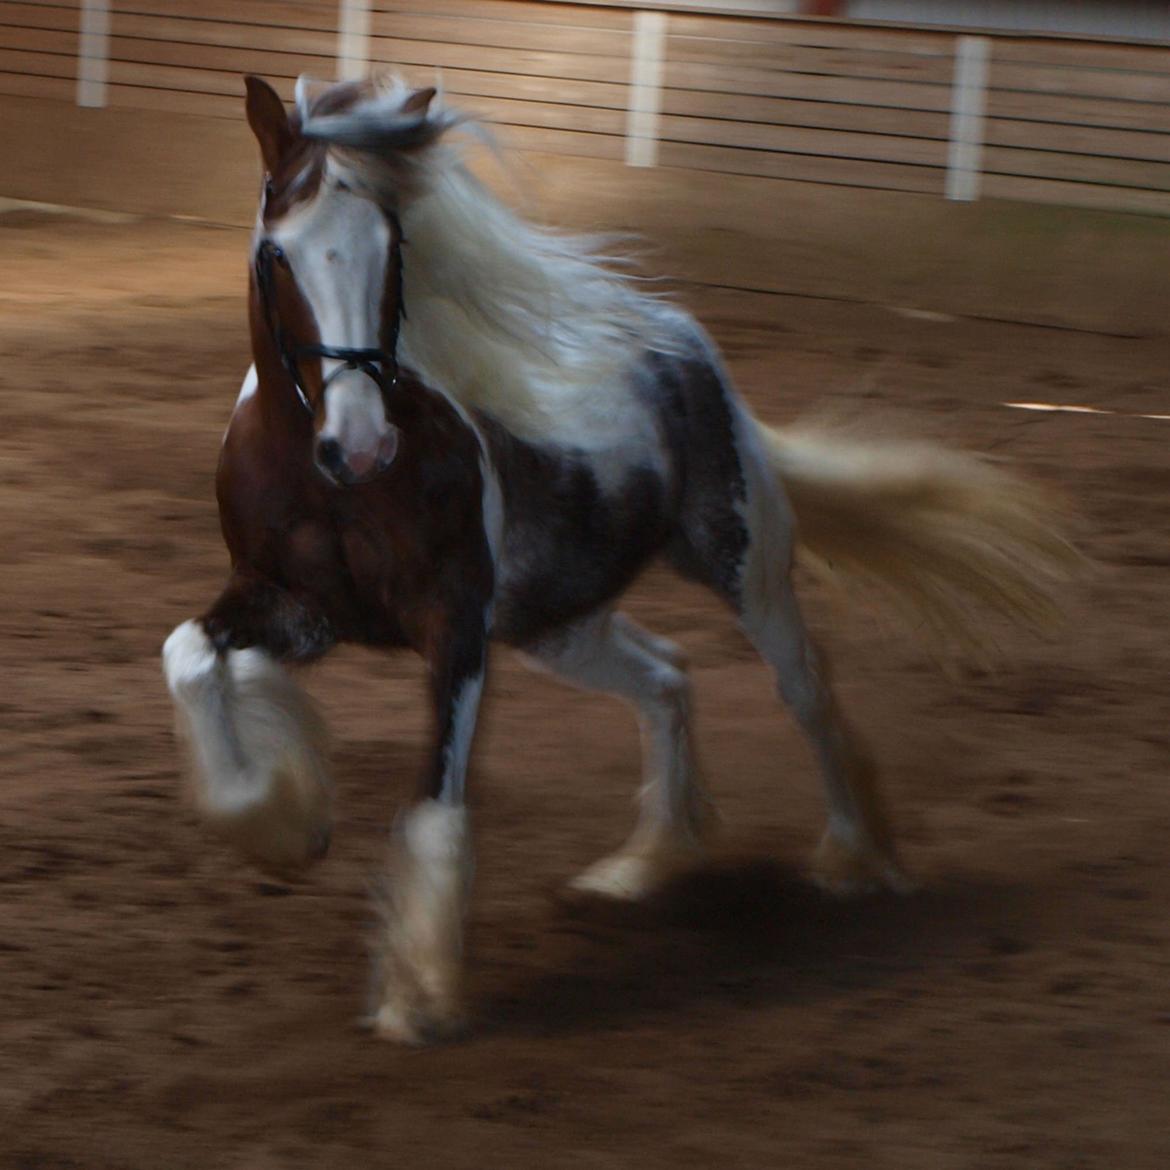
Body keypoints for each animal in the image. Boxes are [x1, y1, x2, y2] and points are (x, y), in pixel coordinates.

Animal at [162, 73, 1076, 1043]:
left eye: (392, 246)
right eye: (279, 253)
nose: (362, 445)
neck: (325, 480)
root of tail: (680, 341)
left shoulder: (455, 627)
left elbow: (436, 800)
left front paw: (418, 995)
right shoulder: (291, 606)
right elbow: (192, 658)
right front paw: (281, 815)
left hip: (743, 565)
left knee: (806, 691)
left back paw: (854, 859)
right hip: (557, 624)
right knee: (668, 677)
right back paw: (643, 865)